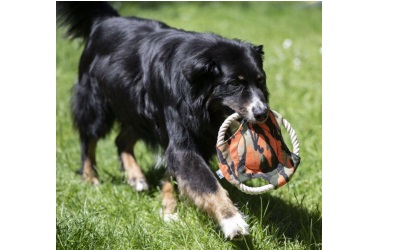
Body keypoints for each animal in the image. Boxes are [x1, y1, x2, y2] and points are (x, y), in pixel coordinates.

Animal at [57, 2, 268, 240]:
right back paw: (90, 179)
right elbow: (205, 181)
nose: (262, 113)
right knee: (89, 138)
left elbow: (173, 170)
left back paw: (136, 177)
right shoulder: (178, 123)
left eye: (260, 80)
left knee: (122, 140)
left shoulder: (193, 132)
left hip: (138, 110)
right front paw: (232, 220)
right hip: (96, 99)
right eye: (234, 83)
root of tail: (105, 20)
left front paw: (168, 208)